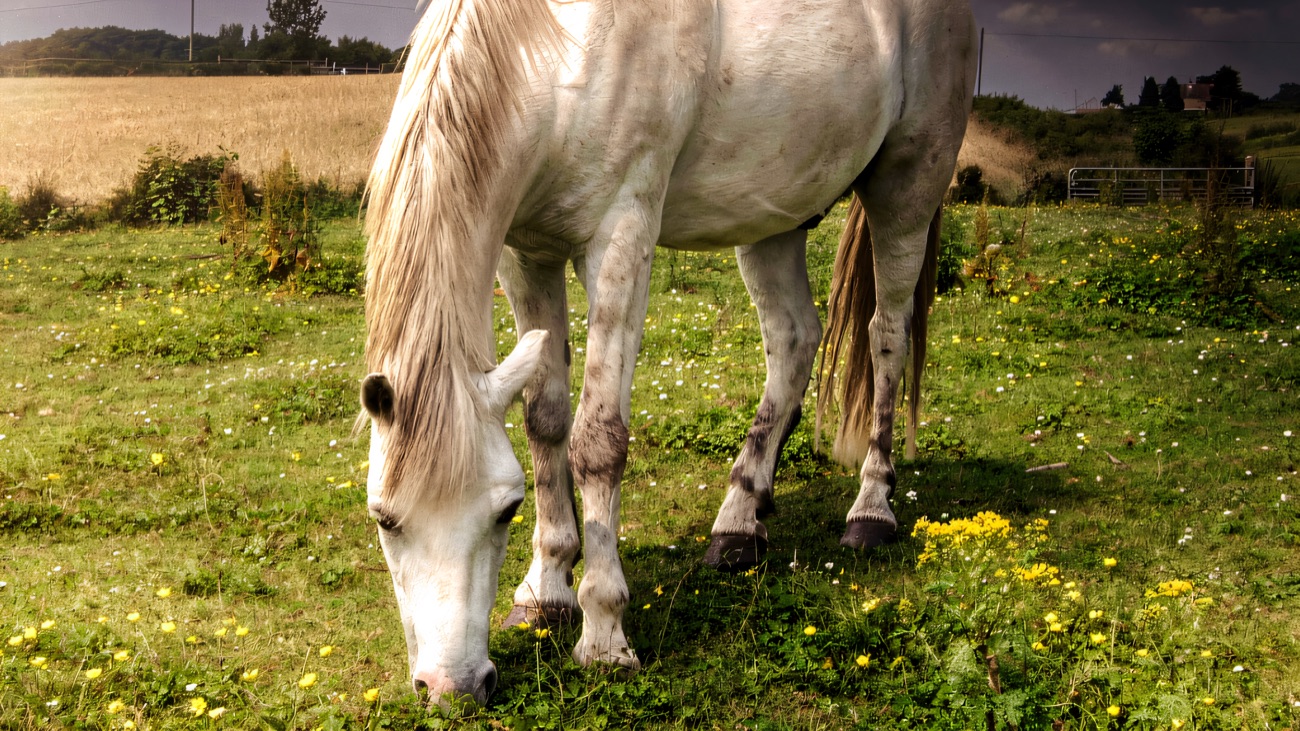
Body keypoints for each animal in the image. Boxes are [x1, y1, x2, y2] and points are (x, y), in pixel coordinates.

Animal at [359, 0, 975, 704]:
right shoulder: (526, 256)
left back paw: (870, 510)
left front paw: (603, 634)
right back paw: (739, 522)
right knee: (793, 340)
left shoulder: (621, 238)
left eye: (503, 512)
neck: (559, 54)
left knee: (886, 337)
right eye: (384, 518)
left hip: (907, 189)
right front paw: (546, 591)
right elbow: (546, 424)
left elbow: (598, 442)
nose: (453, 687)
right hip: (772, 216)